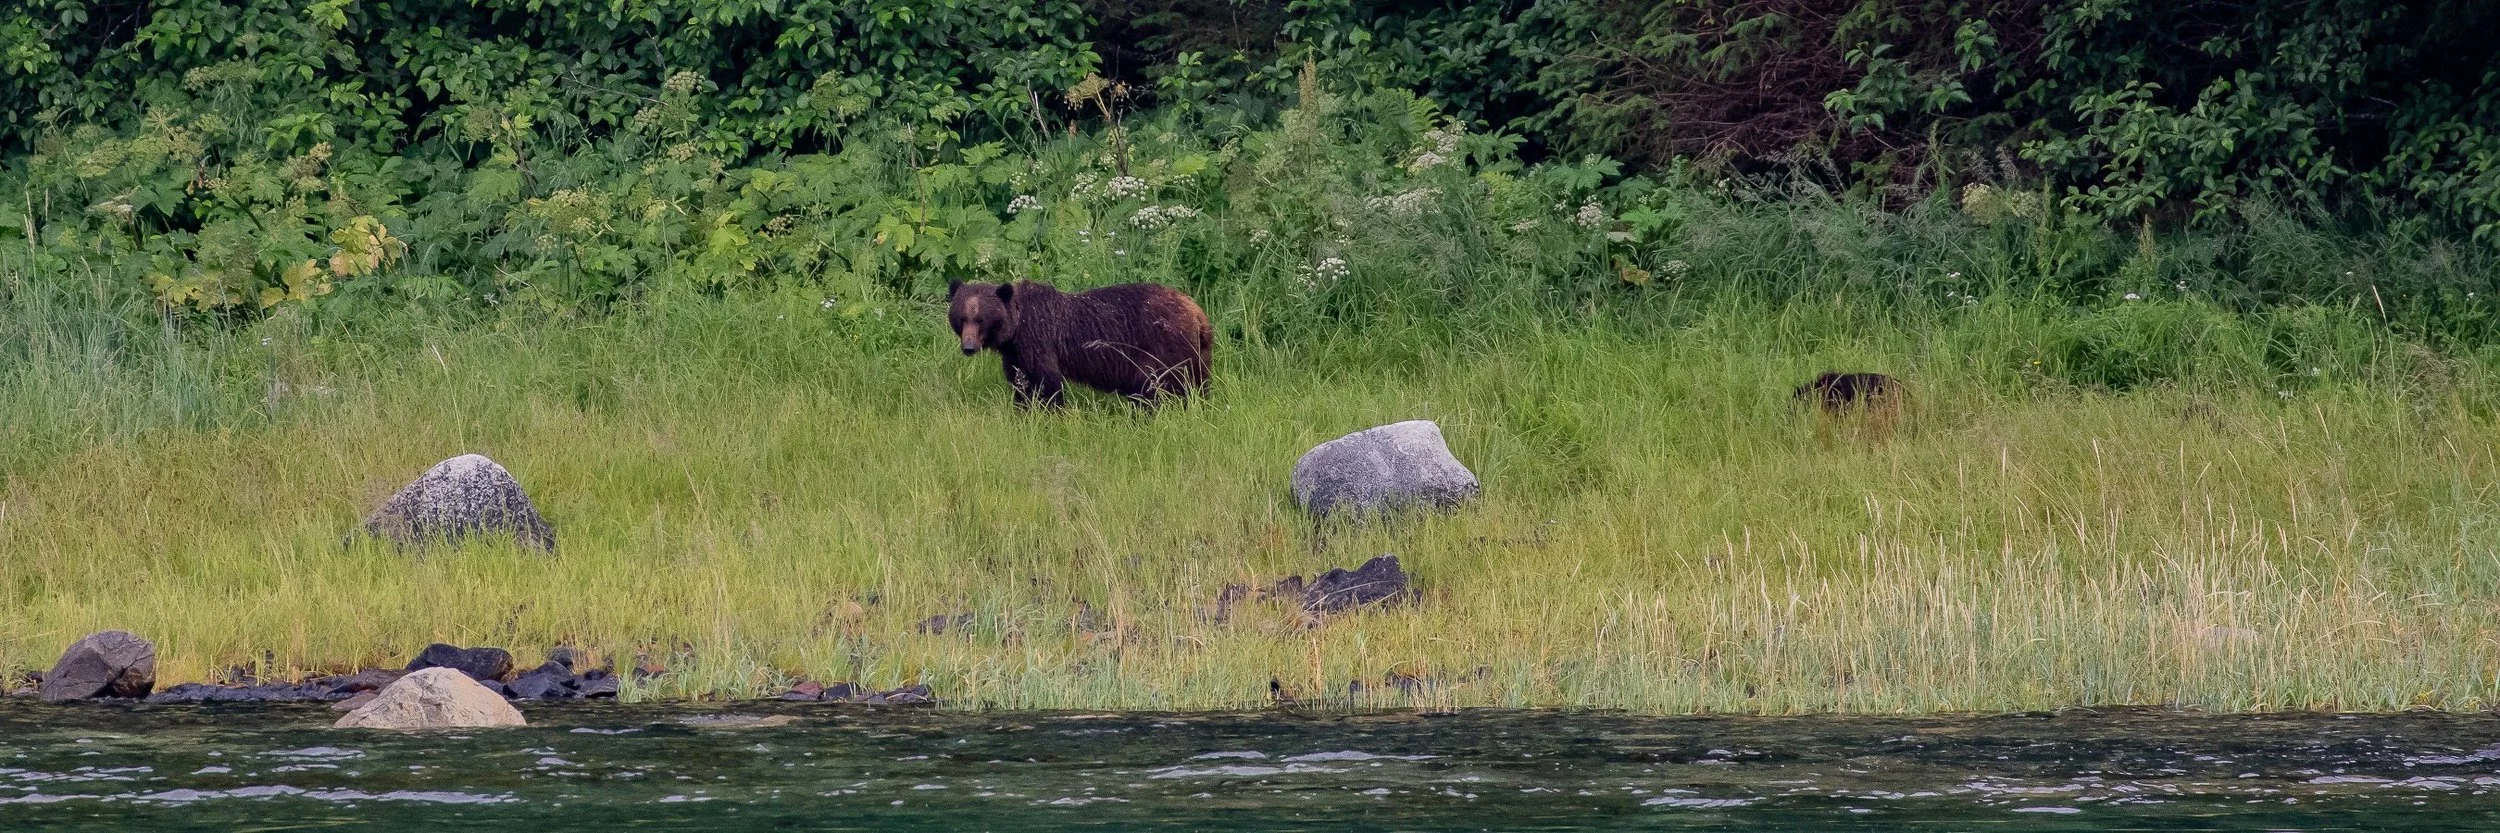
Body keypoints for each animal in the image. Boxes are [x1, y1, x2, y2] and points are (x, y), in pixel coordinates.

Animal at [947, 279, 1213, 408]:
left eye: (981, 319)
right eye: (962, 318)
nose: (968, 347)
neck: (1016, 326)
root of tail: (1197, 312)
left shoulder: (1038, 339)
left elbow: (1047, 381)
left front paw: (1049, 411)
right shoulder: (1014, 354)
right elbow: (1020, 382)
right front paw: (1022, 407)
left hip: (1163, 348)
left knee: (1160, 387)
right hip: (1199, 354)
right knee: (1198, 385)